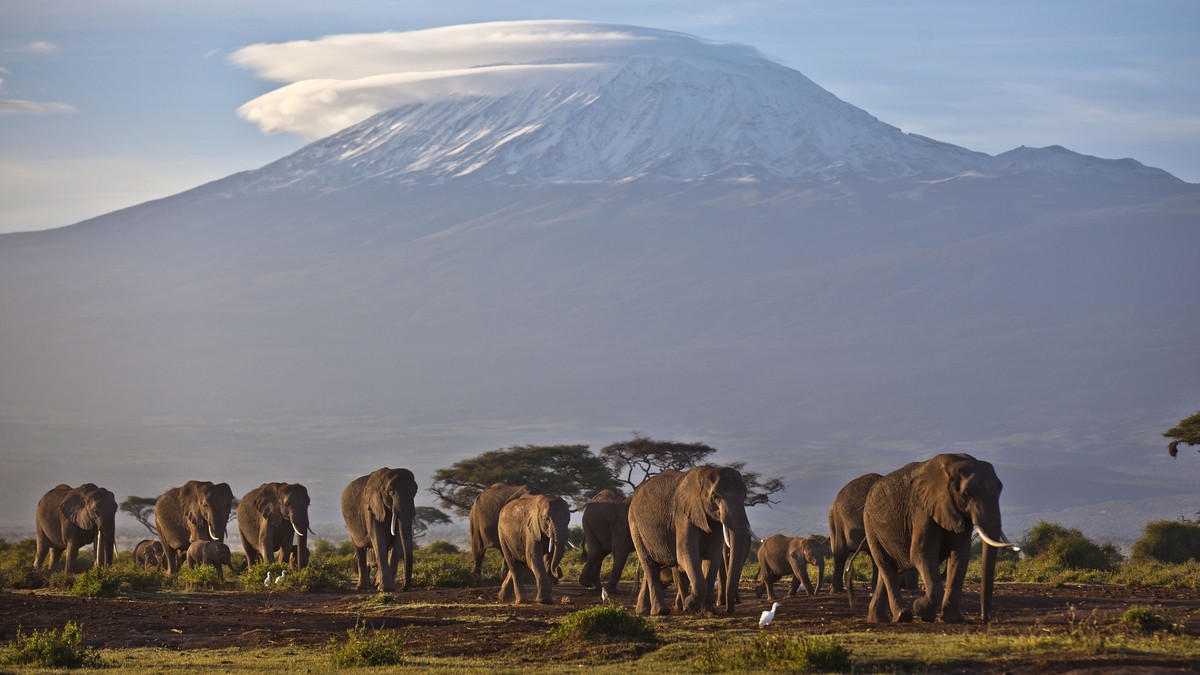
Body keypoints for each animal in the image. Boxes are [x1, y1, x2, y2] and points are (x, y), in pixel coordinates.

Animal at [628, 465, 751, 615]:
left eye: (745, 495)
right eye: (714, 496)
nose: (728, 611)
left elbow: (712, 557)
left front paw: (709, 612)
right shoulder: (682, 514)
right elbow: (685, 553)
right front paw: (689, 606)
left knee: (652, 566)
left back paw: (643, 611)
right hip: (635, 526)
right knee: (649, 565)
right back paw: (661, 611)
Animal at [860, 453, 1018, 624]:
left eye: (999, 491)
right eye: (967, 493)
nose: (986, 619)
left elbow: (961, 554)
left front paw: (952, 619)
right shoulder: (921, 509)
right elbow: (921, 552)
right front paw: (920, 609)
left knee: (888, 571)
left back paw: (878, 619)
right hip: (871, 526)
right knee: (886, 566)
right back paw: (902, 616)